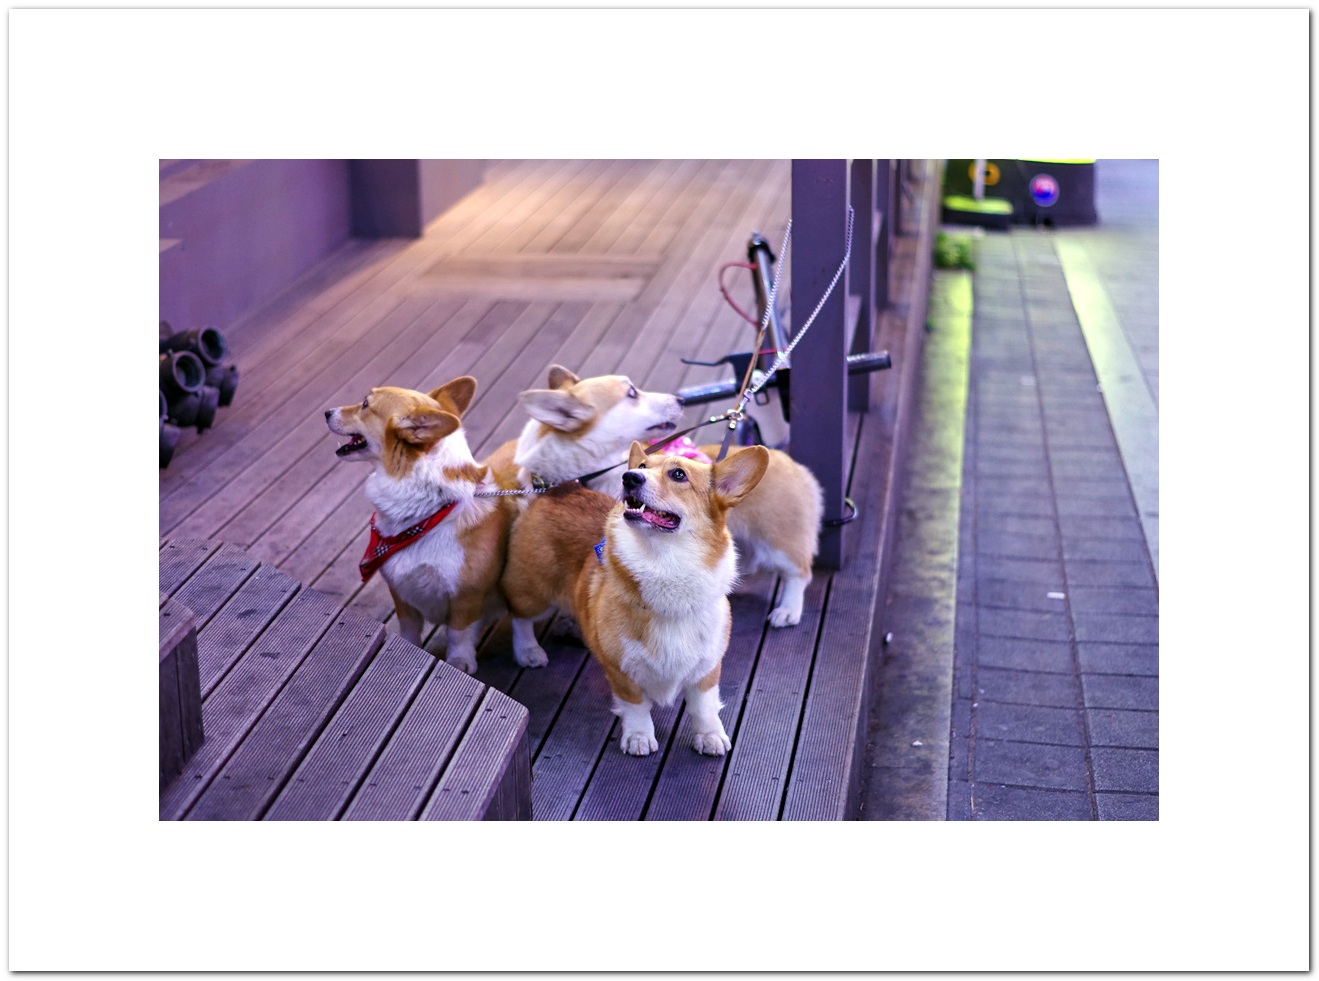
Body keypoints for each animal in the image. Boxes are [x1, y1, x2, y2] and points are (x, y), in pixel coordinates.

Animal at [324, 376, 541, 674]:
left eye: (366, 404)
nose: (326, 412)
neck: (430, 510)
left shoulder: (466, 595)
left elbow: (458, 633)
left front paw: (459, 661)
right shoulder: (401, 592)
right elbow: (409, 630)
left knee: (522, 618)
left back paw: (528, 651)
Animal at [488, 365, 822, 628]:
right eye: (631, 393)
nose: (681, 399)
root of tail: (793, 464)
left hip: (779, 540)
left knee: (799, 573)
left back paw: (787, 611)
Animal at [501, 440, 769, 756]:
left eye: (678, 474)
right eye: (642, 467)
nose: (628, 477)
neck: (666, 564)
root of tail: (557, 489)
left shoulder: (707, 668)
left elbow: (704, 706)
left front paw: (709, 735)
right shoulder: (621, 669)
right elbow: (636, 706)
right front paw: (639, 737)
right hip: (535, 591)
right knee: (519, 617)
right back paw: (528, 651)